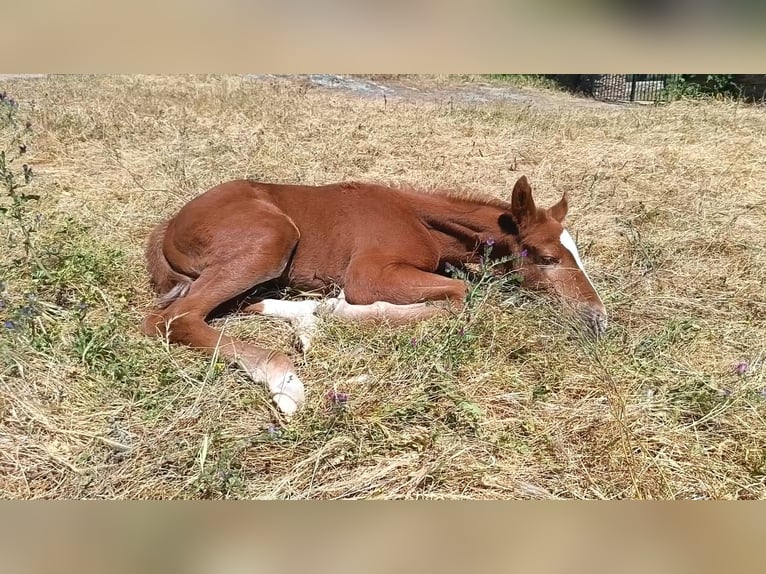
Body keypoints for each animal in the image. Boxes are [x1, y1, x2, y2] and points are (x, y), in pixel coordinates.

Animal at [142, 175, 607, 417]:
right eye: (547, 257)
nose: (598, 317)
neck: (419, 217)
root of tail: (169, 226)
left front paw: (323, 311)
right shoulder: (369, 274)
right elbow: (459, 296)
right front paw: (337, 309)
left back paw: (306, 322)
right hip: (271, 239)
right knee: (173, 319)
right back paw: (283, 378)